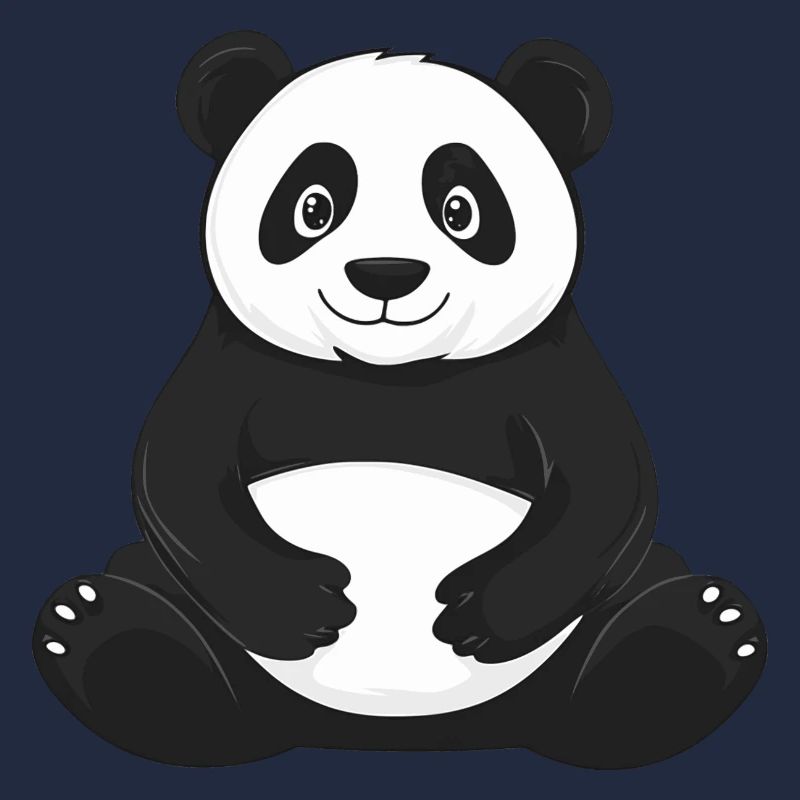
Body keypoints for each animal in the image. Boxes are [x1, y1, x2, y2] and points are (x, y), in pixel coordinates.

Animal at [33, 31, 766, 768]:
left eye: (462, 209)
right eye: (314, 206)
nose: (386, 274)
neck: (388, 375)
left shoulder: (550, 365)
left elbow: (607, 488)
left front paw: (475, 612)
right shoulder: (232, 360)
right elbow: (179, 479)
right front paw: (308, 604)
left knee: (627, 617)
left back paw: (693, 631)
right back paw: (106, 630)